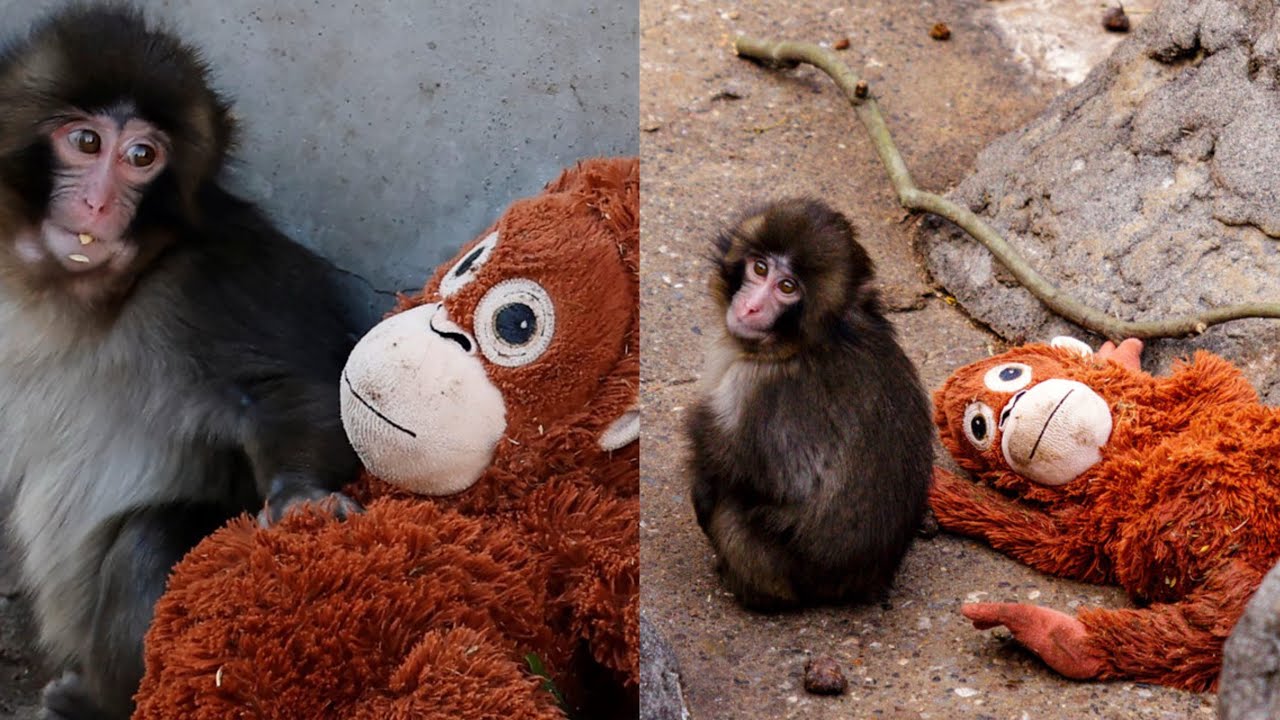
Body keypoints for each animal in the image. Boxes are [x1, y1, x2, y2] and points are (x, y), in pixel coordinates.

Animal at [0, 5, 363, 718]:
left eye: (142, 156)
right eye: (86, 143)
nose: (99, 204)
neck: (70, 297)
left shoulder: (216, 278)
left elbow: (292, 388)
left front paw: (301, 498)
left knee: (153, 542)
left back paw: (96, 702)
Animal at [685, 198, 934, 612]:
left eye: (787, 287)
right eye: (760, 268)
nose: (751, 308)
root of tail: (869, 580)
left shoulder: (755, 388)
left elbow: (749, 474)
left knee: (731, 512)